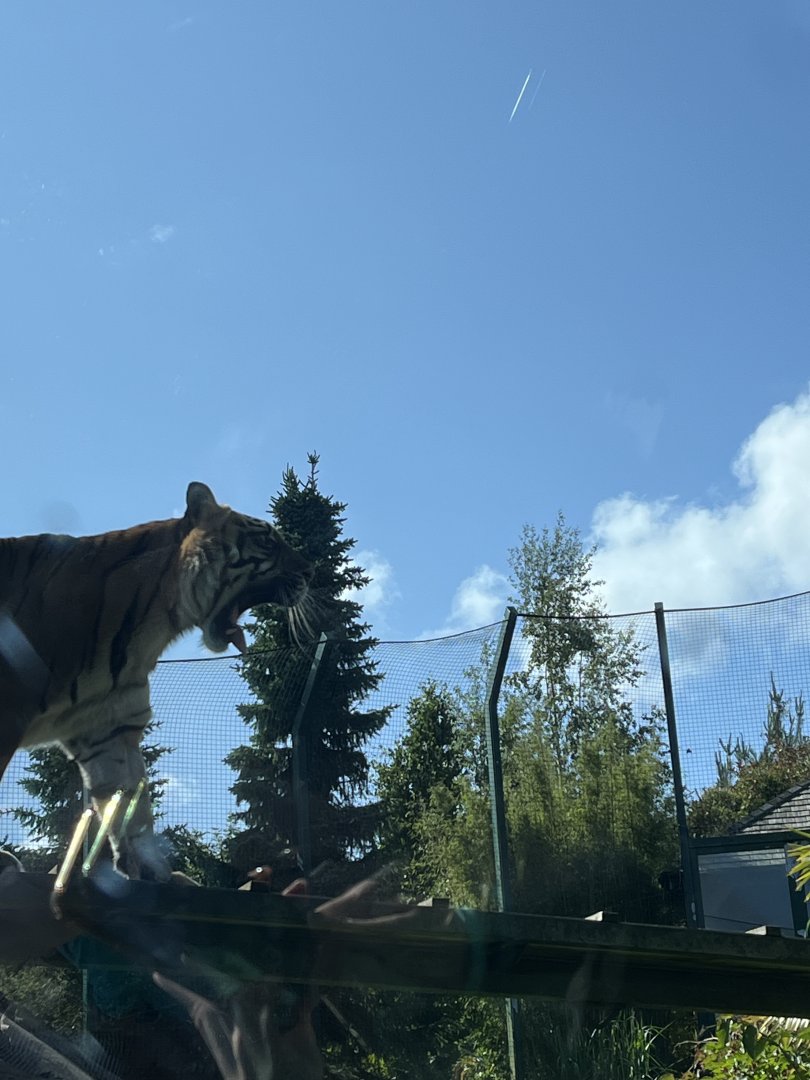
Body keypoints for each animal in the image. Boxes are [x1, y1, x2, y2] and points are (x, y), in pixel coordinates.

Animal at [0, 482, 314, 880]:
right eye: (268, 540)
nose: (312, 571)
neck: (156, 623)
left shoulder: (106, 727)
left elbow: (131, 807)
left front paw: (154, 872)